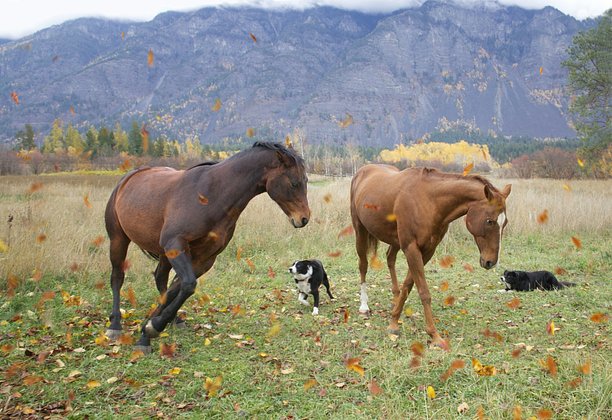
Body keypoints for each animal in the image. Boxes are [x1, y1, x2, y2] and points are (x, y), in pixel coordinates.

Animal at [103, 141, 310, 352]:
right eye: (294, 183)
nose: (303, 218)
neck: (212, 195)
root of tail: (128, 177)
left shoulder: (205, 258)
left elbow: (178, 287)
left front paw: (149, 328)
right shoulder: (176, 244)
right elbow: (187, 285)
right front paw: (152, 329)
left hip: (163, 252)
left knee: (160, 278)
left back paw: (174, 320)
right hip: (119, 239)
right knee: (117, 277)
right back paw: (115, 325)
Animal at [352, 165, 510, 348]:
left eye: (505, 223)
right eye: (490, 221)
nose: (491, 262)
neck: (429, 201)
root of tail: (363, 171)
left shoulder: (427, 251)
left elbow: (408, 286)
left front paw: (394, 321)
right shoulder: (411, 248)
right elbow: (424, 292)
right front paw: (434, 336)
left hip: (395, 241)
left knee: (390, 259)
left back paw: (394, 299)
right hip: (360, 232)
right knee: (363, 266)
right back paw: (364, 306)